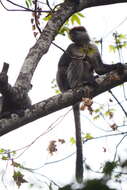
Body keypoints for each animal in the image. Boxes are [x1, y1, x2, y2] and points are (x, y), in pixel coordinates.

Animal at [56, 25, 123, 183]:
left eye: (75, 31)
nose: (71, 33)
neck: (83, 46)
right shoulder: (71, 47)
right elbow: (62, 65)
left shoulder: (93, 47)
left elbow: (99, 68)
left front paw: (117, 66)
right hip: (66, 83)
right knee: (78, 62)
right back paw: (79, 84)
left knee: (86, 63)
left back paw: (89, 80)